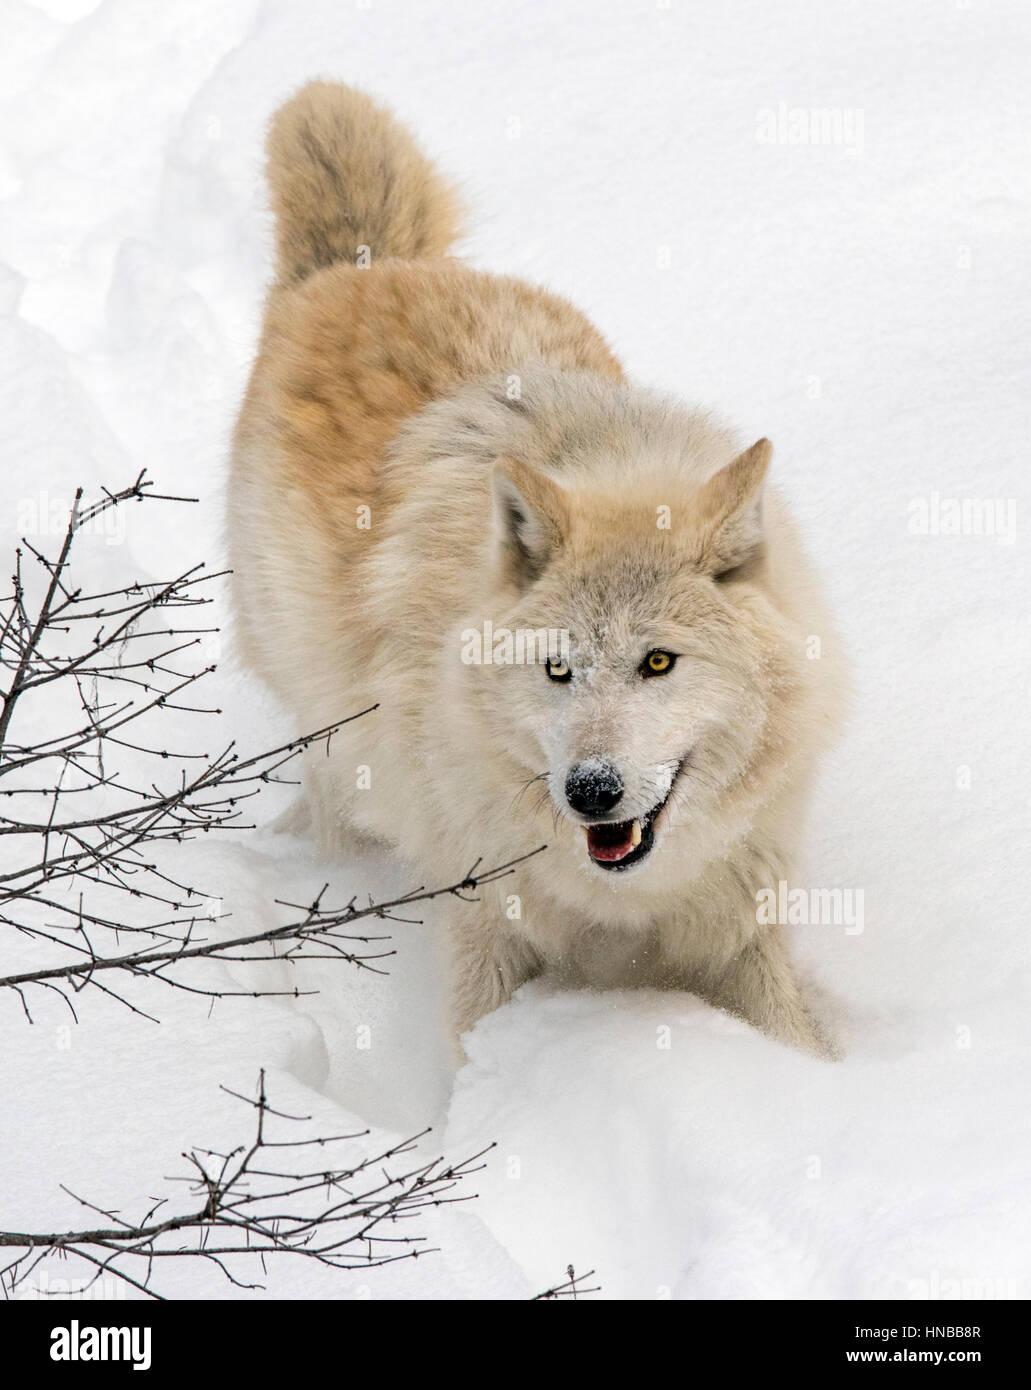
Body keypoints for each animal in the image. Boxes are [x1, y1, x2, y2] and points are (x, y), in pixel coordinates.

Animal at [229, 82, 846, 1057]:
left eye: (658, 662)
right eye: (554, 669)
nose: (589, 791)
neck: (627, 897)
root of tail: (366, 268)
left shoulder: (736, 922)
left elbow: (797, 1040)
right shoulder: (487, 923)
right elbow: (469, 1051)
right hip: (327, 723)